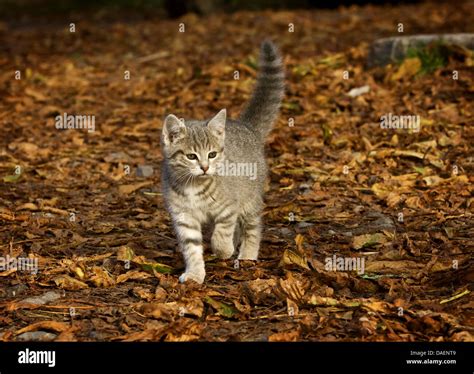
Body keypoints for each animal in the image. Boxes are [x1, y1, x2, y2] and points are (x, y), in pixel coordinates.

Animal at [161, 40, 284, 284]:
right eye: (191, 156)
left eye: (212, 154)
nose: (205, 167)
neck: (194, 185)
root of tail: (247, 127)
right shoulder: (184, 217)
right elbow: (191, 248)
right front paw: (195, 273)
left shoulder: (229, 207)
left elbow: (223, 230)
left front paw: (223, 249)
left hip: (250, 199)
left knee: (252, 227)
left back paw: (246, 255)